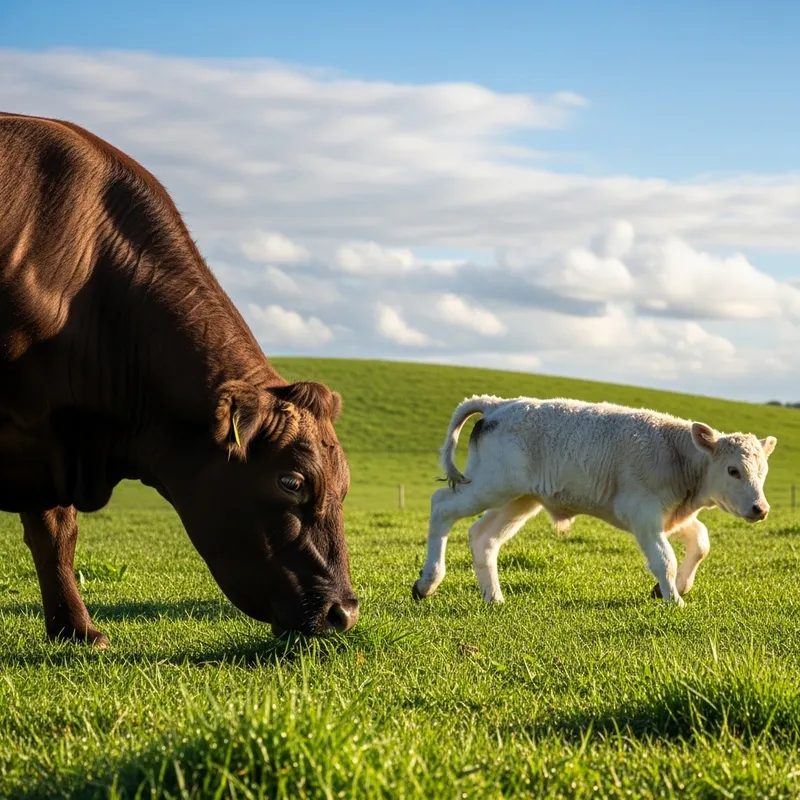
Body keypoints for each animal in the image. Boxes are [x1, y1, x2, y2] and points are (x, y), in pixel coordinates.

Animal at [0, 111, 359, 647]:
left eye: (345, 484)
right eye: (292, 481)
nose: (344, 612)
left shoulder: (49, 438)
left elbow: (55, 534)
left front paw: (77, 630)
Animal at [411, 394, 777, 607]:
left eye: (763, 472)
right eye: (733, 470)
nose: (760, 509)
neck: (676, 454)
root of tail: (497, 404)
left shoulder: (672, 515)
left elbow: (701, 542)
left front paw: (675, 588)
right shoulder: (643, 514)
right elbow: (665, 559)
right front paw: (674, 600)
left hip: (519, 499)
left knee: (482, 536)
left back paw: (494, 598)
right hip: (490, 484)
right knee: (441, 506)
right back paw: (428, 582)